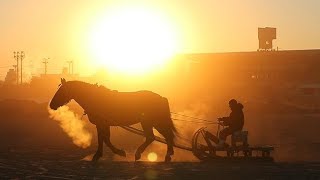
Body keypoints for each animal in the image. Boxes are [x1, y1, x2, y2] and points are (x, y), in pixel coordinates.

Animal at [49, 78, 178, 162]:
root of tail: (161, 97)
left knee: (156, 136)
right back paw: (167, 154)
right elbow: (104, 139)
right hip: (152, 122)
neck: (94, 98)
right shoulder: (103, 124)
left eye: (61, 91)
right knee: (163, 136)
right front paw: (102, 154)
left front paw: (115, 153)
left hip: (150, 122)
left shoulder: (102, 124)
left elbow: (105, 139)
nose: (51, 105)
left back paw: (143, 154)